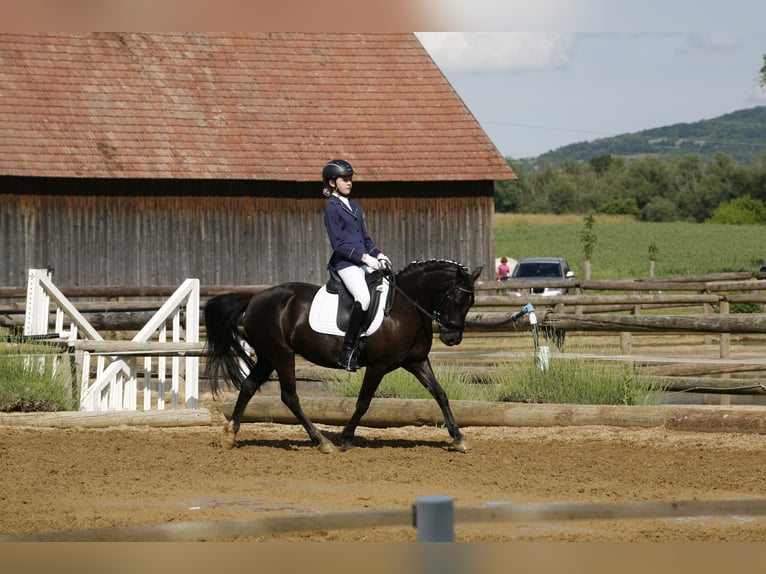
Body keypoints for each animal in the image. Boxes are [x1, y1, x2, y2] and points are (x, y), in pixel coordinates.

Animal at [202, 260, 480, 454]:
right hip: (281, 355)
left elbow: (440, 394)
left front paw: (458, 438)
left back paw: (230, 436)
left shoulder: (416, 362)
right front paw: (346, 437)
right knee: (290, 397)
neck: (404, 308)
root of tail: (254, 298)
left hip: (268, 357)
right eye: (457, 299)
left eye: (470, 302)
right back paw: (322, 442)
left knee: (249, 387)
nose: (452, 338)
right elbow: (363, 402)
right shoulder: (378, 366)